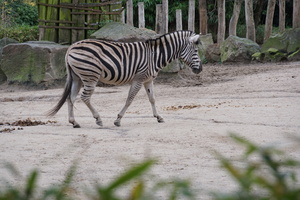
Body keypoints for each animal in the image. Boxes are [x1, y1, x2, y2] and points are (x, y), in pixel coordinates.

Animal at [47, 30, 202, 128]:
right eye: (195, 51)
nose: (200, 69)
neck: (154, 55)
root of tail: (71, 47)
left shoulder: (148, 80)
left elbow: (152, 99)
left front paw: (159, 117)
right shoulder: (139, 79)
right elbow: (130, 99)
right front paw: (118, 120)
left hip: (77, 77)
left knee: (71, 98)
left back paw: (74, 122)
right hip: (90, 76)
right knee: (84, 97)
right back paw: (98, 119)